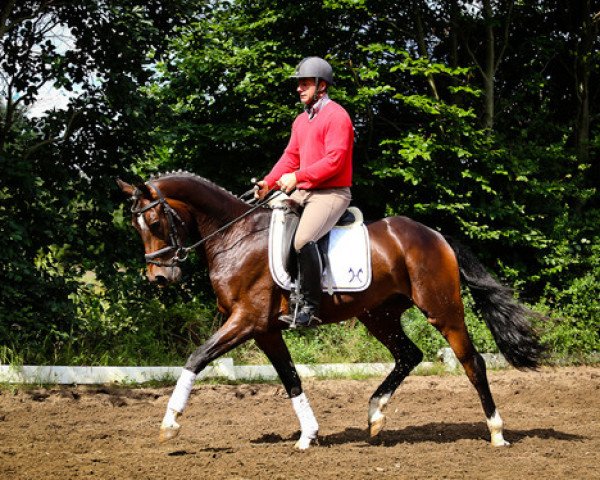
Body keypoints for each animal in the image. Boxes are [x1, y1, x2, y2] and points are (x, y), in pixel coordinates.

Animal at [116, 172, 544, 450]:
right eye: (135, 227)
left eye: (154, 220)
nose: (159, 277)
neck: (233, 237)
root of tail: (435, 235)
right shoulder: (265, 329)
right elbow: (290, 378)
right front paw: (308, 435)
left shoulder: (246, 321)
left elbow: (197, 357)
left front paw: (170, 423)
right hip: (378, 315)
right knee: (409, 354)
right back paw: (375, 415)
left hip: (442, 309)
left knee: (472, 362)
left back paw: (497, 433)